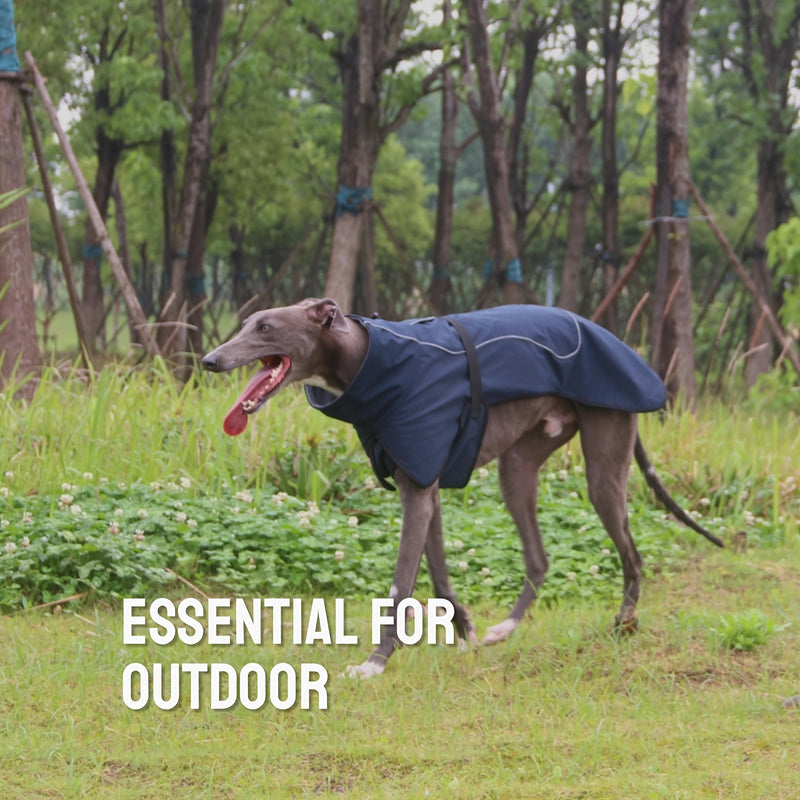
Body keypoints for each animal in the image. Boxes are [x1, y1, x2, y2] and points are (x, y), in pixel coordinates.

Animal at [202, 296, 724, 680]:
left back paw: (624, 622)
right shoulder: (424, 484)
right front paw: (466, 633)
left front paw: (375, 663)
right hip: (517, 469)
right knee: (539, 558)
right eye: (246, 323)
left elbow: (400, 585)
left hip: (603, 463)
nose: (210, 360)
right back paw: (504, 629)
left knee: (631, 554)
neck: (370, 360)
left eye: (265, 328)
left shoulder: (417, 490)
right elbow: (438, 576)